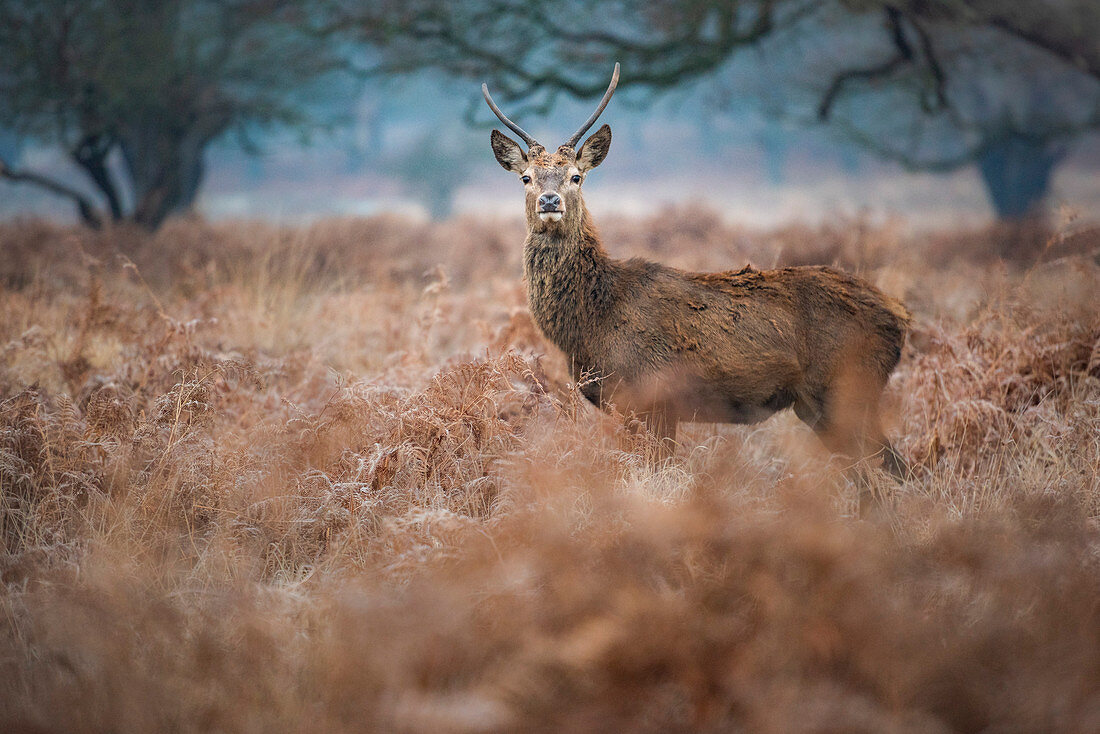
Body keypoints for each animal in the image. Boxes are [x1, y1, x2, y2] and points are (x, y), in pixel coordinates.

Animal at [486, 64, 906, 481]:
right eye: (526, 177)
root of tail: (899, 317)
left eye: (576, 176)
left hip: (848, 388)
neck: (591, 326)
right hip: (820, 404)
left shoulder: (655, 395)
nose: (549, 200)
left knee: (893, 466)